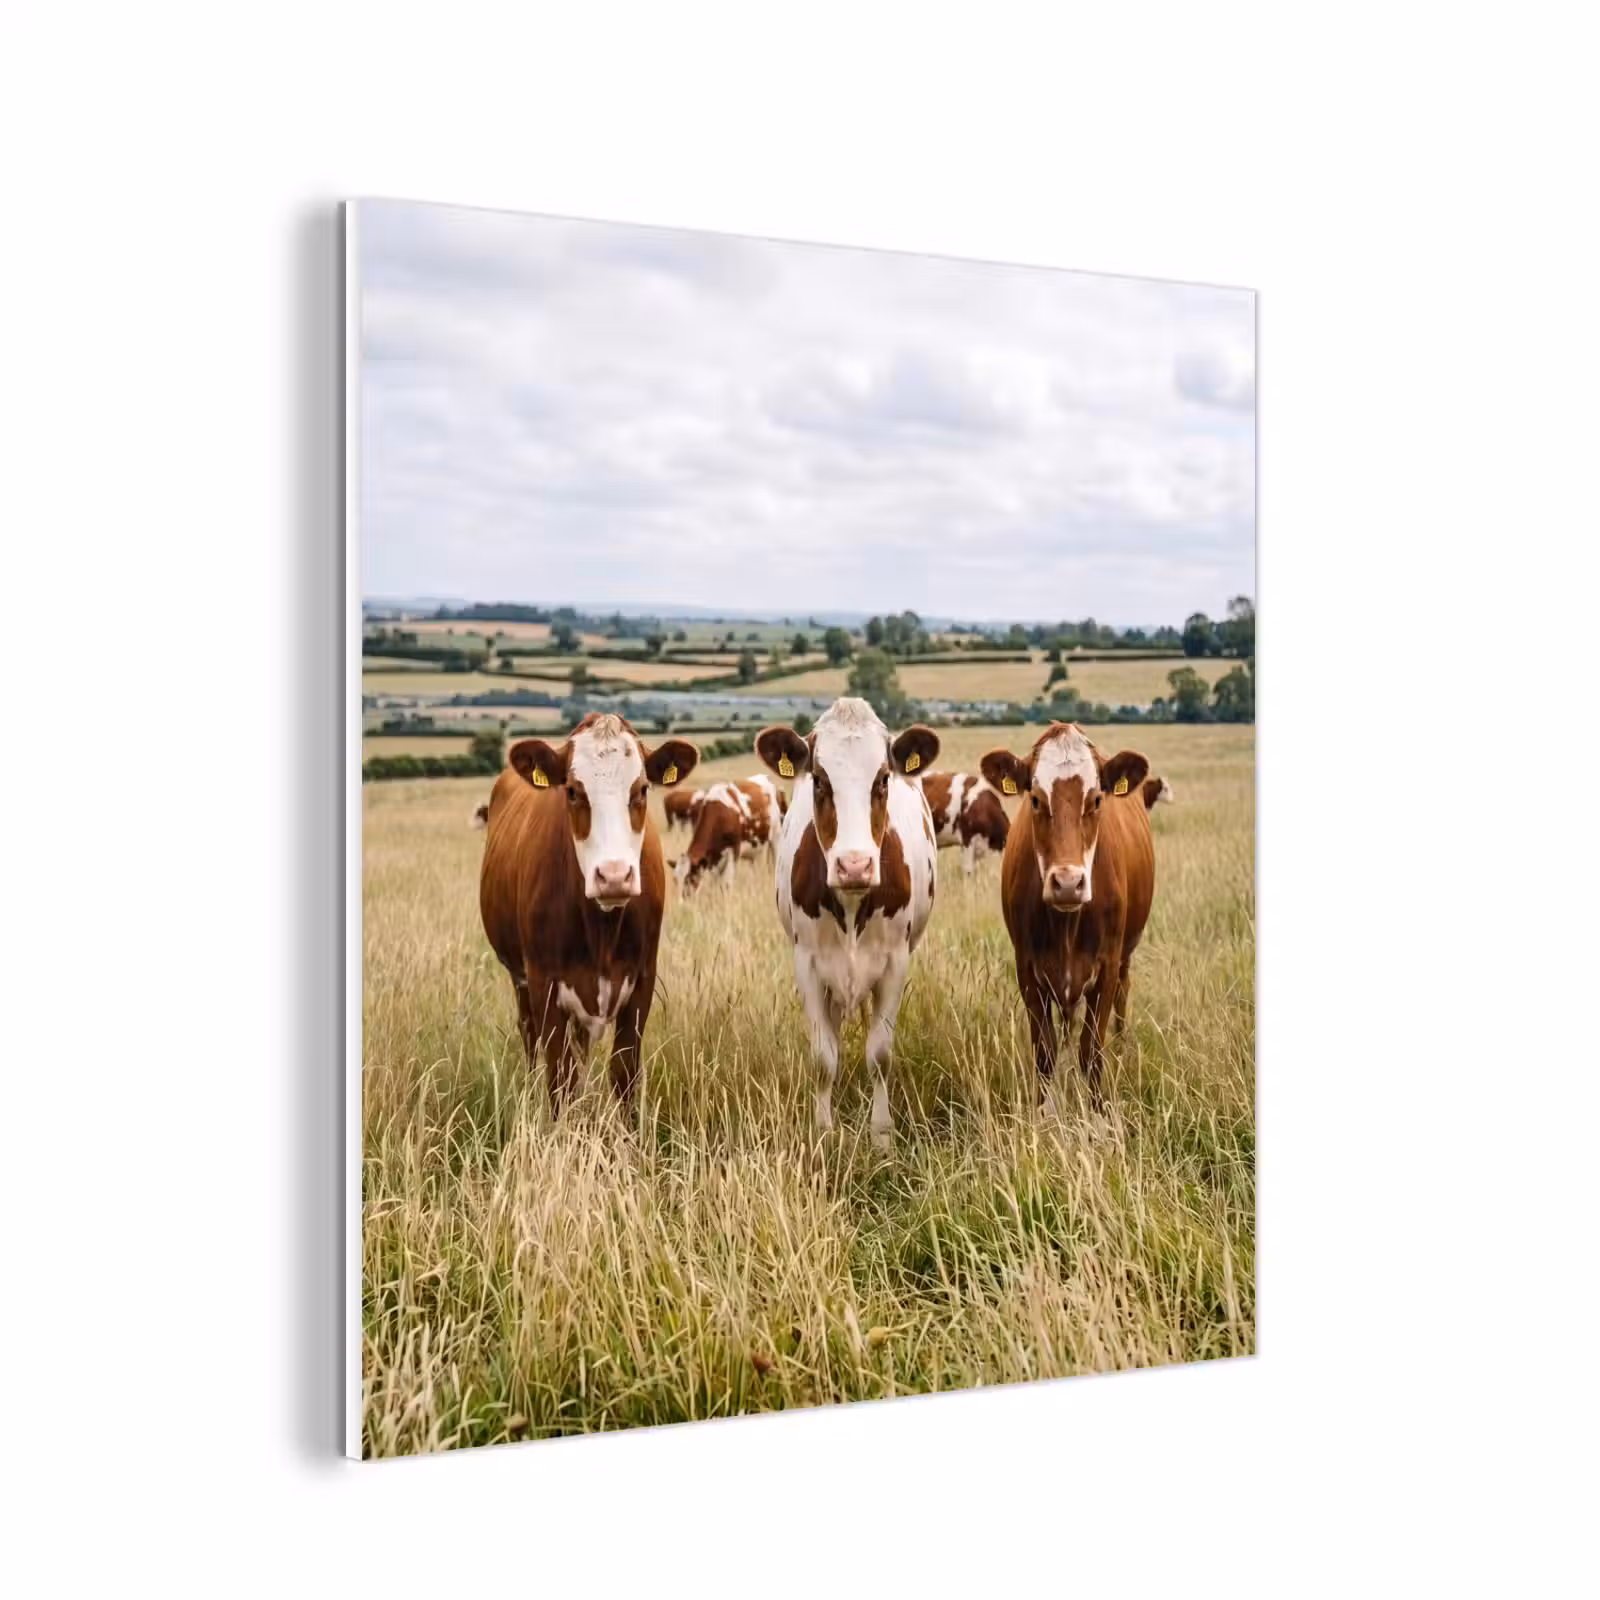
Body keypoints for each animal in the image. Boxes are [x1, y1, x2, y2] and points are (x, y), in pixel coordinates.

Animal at [478, 712, 700, 1115]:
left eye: (642, 790)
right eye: (572, 791)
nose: (613, 876)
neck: (602, 929)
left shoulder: (642, 980)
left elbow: (624, 1072)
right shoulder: (544, 983)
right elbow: (559, 1078)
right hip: (520, 979)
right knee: (529, 1037)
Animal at [757, 698, 939, 1148]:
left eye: (883, 780)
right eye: (820, 781)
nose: (854, 865)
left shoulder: (894, 964)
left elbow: (880, 1054)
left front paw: (881, 1136)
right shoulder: (807, 964)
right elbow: (824, 1056)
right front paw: (824, 1131)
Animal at [981, 722, 1154, 1111]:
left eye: (1097, 800)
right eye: (1035, 799)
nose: (1067, 883)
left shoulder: (1106, 968)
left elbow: (1092, 1050)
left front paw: (1097, 1112)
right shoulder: (1028, 970)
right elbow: (1044, 1052)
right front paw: (1044, 1112)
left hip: (1126, 956)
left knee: (1123, 994)